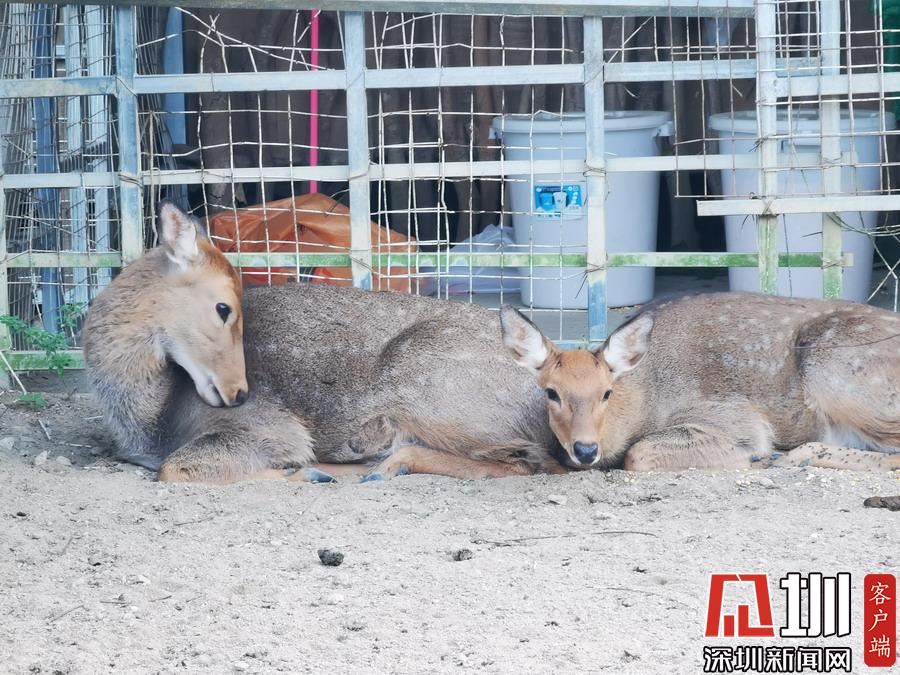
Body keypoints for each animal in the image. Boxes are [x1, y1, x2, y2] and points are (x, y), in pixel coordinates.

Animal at [82, 202, 566, 483]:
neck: (152, 419)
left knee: (533, 459)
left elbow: (174, 469)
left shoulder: (268, 426)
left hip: (428, 381)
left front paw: (300, 472)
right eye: (223, 306)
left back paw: (379, 460)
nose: (238, 392)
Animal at [499, 293, 900, 472]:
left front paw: (754, 453)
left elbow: (638, 453)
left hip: (834, 371)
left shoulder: (733, 416)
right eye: (552, 392)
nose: (585, 449)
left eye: (606, 393)